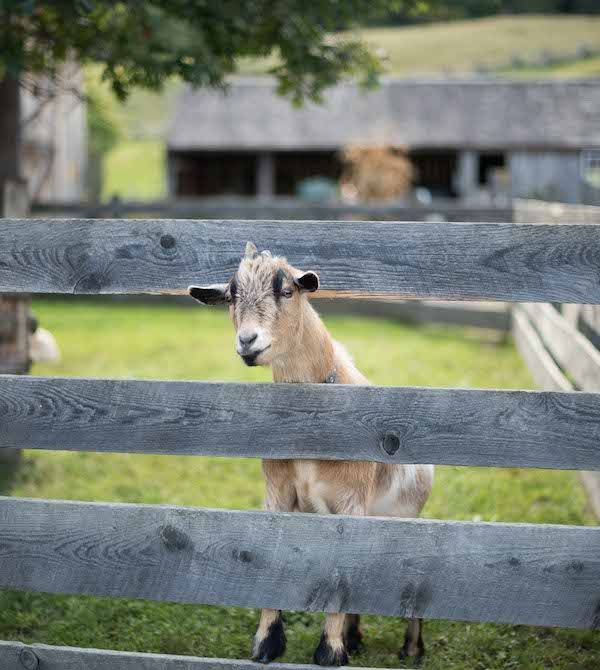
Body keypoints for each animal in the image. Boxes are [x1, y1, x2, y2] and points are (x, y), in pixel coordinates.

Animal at [190, 243, 434, 668]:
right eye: (232, 296)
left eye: (287, 291)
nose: (248, 341)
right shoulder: (278, 494)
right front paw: (267, 644)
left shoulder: (351, 504)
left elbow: (340, 572)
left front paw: (329, 651)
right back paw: (356, 637)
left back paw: (412, 649)